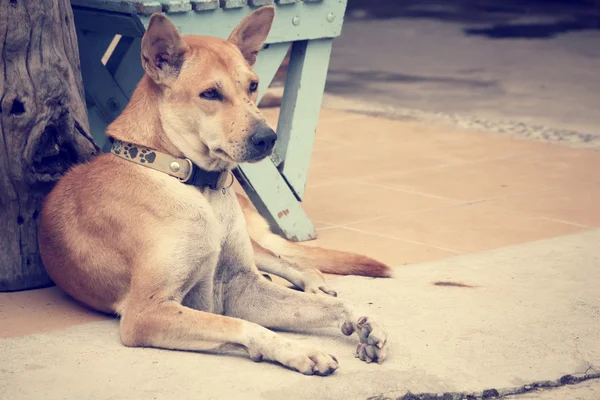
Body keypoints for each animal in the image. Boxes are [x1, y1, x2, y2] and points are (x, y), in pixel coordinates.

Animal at [39, 5, 392, 376]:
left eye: (253, 86)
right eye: (210, 93)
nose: (267, 138)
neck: (191, 182)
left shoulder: (241, 286)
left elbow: (322, 305)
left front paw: (361, 319)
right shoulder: (147, 312)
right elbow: (244, 325)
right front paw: (298, 349)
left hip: (254, 249)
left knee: (291, 262)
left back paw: (314, 283)